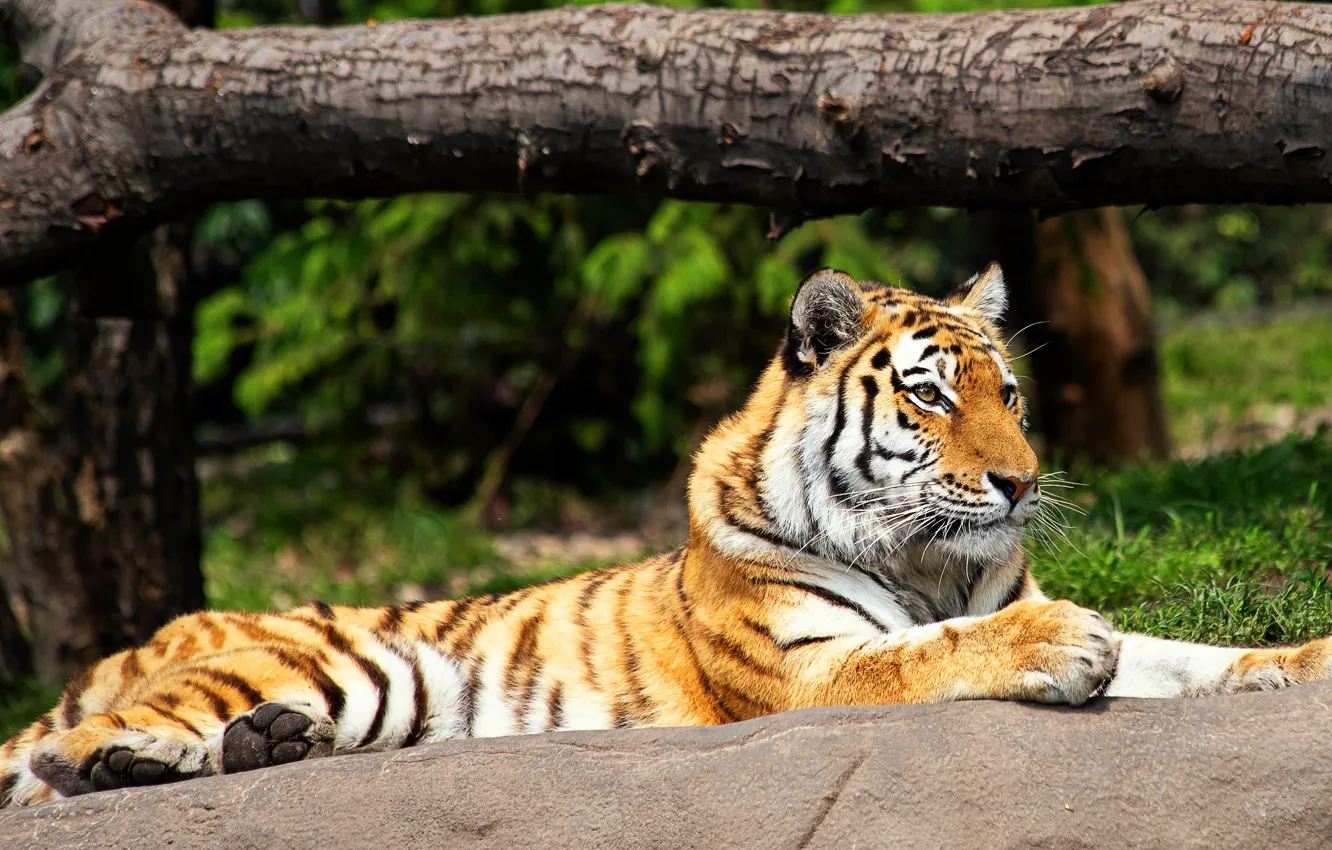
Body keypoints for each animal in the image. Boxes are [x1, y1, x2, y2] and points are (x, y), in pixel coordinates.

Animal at [5, 264, 1332, 809]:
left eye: (1009, 393)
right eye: (929, 397)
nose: (1022, 481)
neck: (926, 555)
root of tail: (142, 636)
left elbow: (1195, 660)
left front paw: (1305, 658)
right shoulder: (806, 672)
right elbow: (930, 651)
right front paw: (1058, 643)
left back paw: (260, 750)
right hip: (345, 660)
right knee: (63, 753)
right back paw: (125, 762)